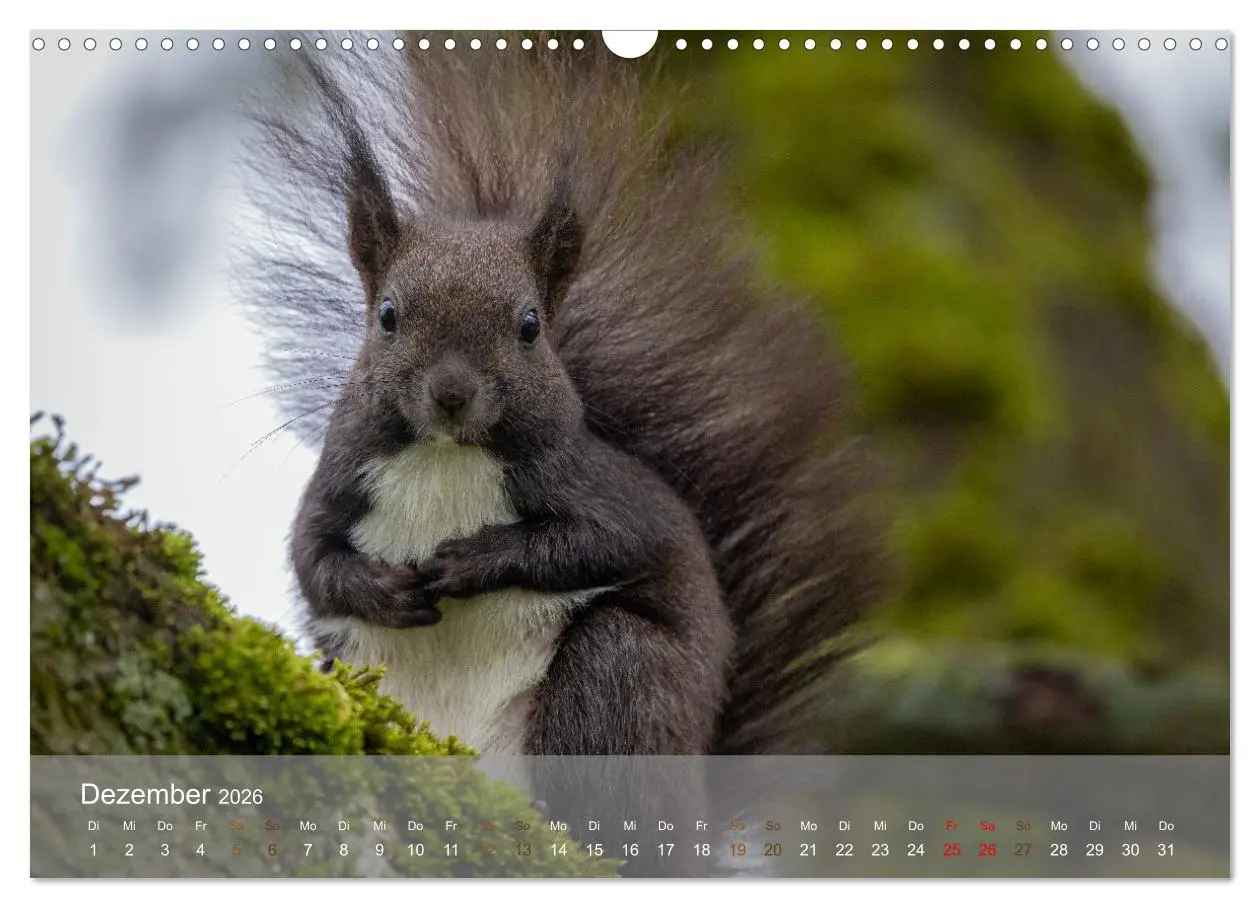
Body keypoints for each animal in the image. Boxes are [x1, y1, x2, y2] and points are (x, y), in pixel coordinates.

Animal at [239, 34, 885, 758]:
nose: (452, 394)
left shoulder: (607, 497)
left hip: (616, 670)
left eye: (530, 326)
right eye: (386, 317)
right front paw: (383, 589)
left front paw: (475, 560)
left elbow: (595, 543)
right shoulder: (336, 487)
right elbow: (311, 557)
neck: (446, 459)